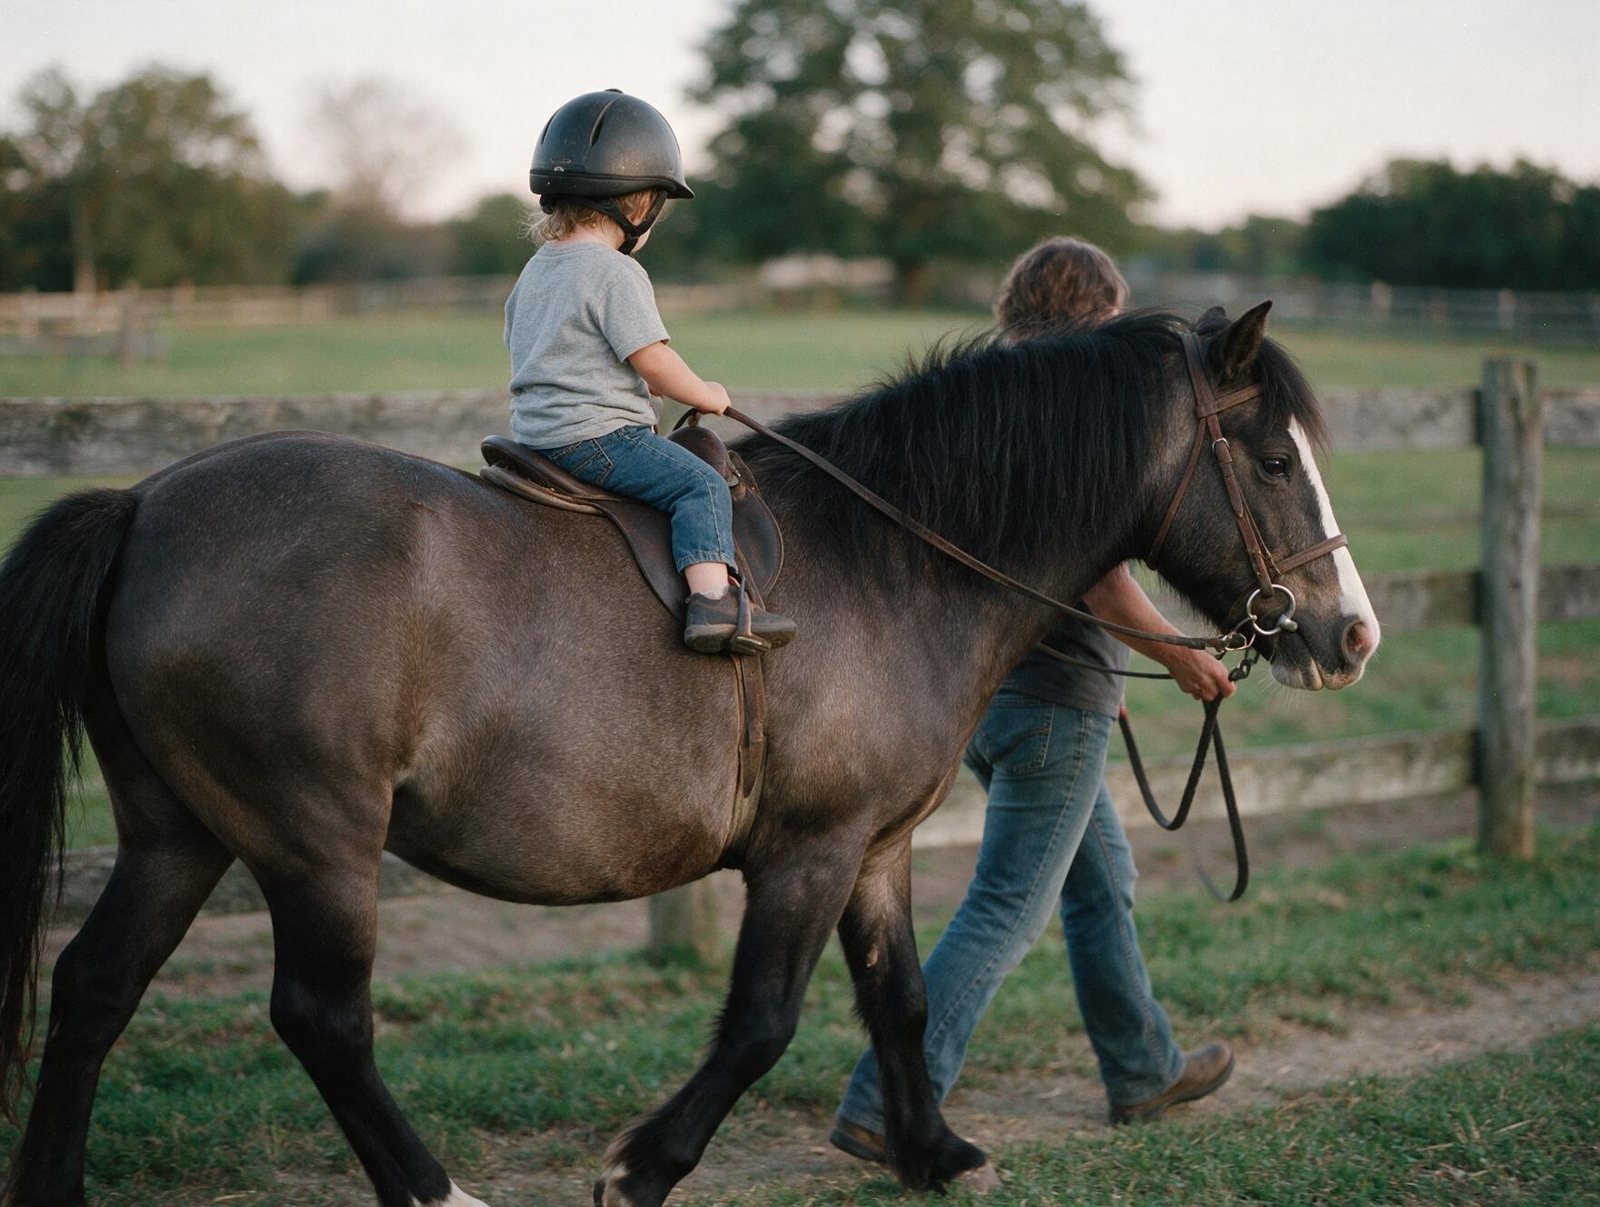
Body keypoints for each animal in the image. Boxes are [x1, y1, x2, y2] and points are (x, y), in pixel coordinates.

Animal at [0, 303, 1379, 1207]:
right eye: (1272, 458)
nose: (1350, 633)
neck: (895, 557)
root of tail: (145, 506)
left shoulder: (872, 848)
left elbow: (901, 997)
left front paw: (931, 1153)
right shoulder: (807, 855)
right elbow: (762, 1020)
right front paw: (642, 1167)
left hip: (180, 833)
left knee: (94, 989)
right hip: (316, 844)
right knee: (322, 1019)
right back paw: (432, 1190)